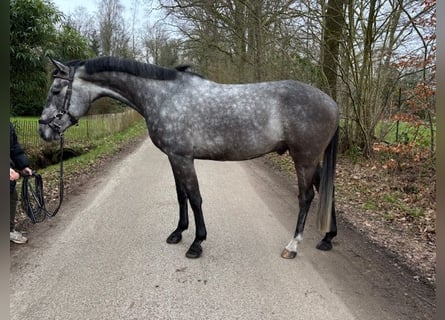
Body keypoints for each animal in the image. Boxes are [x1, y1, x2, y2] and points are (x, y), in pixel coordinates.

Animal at [40, 56, 338, 258]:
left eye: (55, 90)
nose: (44, 130)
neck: (165, 97)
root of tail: (332, 102)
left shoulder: (183, 158)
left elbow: (194, 197)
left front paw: (197, 243)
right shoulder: (174, 157)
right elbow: (180, 195)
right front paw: (178, 232)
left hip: (304, 158)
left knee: (306, 197)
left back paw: (293, 245)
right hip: (312, 160)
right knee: (325, 190)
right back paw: (327, 238)